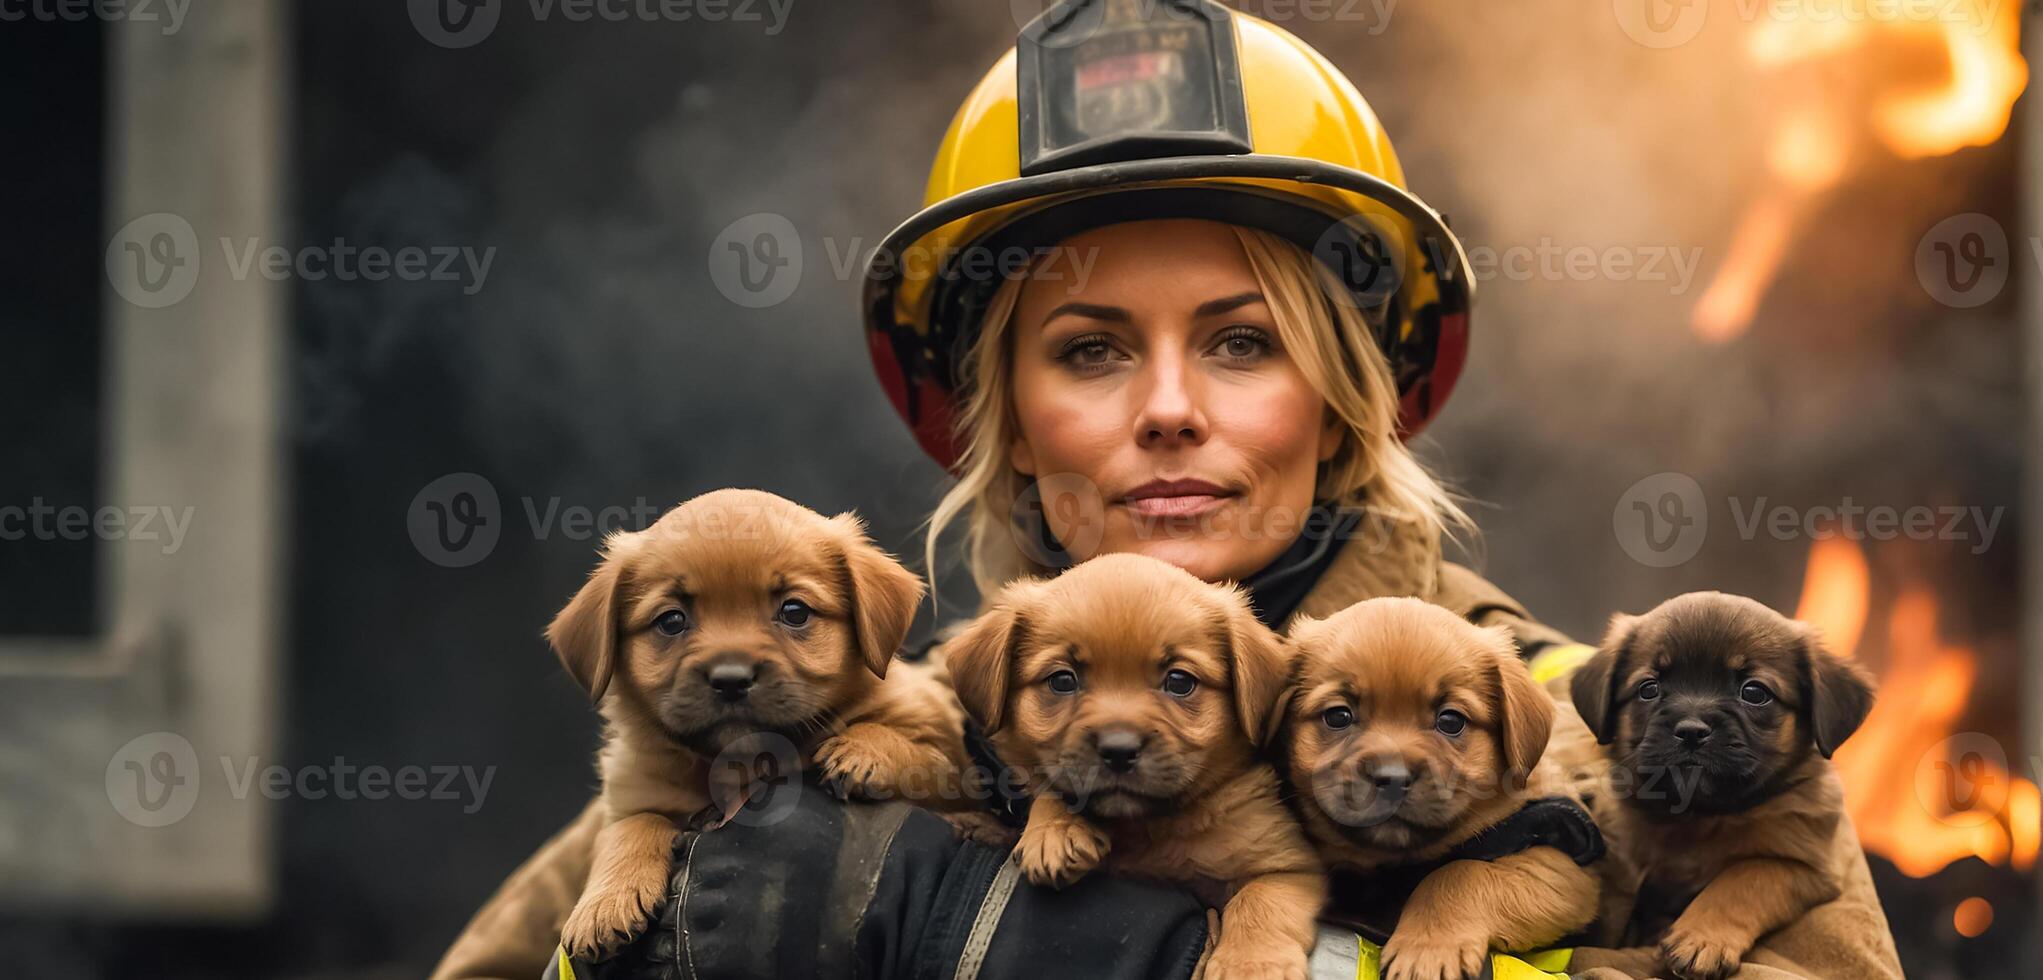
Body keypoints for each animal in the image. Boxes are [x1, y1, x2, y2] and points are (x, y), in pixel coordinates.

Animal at [551, 490, 980, 955]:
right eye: (671, 620)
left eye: (794, 611)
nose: (731, 679)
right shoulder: (633, 793)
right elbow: (631, 826)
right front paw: (606, 901)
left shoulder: (951, 754)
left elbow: (919, 755)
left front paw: (864, 751)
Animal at [943, 551, 1323, 980]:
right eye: (1062, 680)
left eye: (1179, 681)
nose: (1119, 750)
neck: (1148, 829)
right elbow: (1052, 789)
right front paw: (1056, 832)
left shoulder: (1288, 866)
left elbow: (1257, 902)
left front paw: (1251, 965)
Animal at [1274, 596, 1593, 980]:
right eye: (1338, 716)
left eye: (1451, 721)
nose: (1392, 778)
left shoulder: (1559, 865)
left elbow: (1457, 872)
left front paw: (1426, 948)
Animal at [1569, 588, 1871, 980]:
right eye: (1649, 688)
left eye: (1754, 692)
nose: (1691, 730)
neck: (1701, 814)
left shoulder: (1801, 865)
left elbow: (1741, 879)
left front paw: (1701, 939)